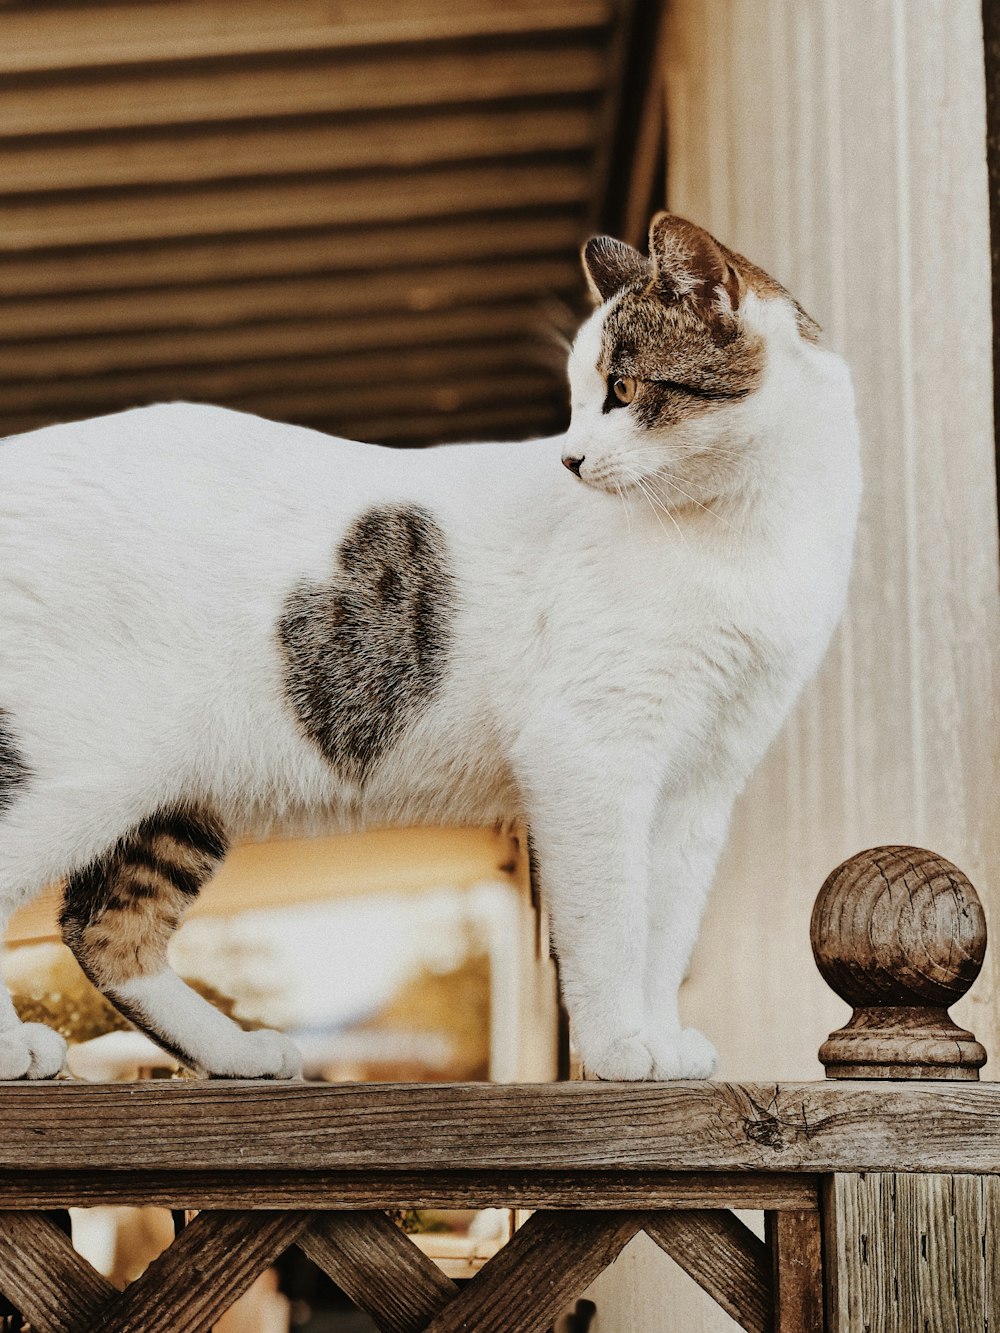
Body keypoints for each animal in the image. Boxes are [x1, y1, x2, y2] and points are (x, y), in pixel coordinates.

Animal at [0, 210, 864, 1082]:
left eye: (620, 390)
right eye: (582, 399)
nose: (571, 458)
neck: (741, 532)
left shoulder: (703, 781)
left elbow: (668, 926)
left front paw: (660, 1037)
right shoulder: (589, 752)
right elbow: (615, 920)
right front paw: (621, 1045)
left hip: (177, 794)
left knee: (106, 930)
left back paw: (237, 1051)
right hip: (79, 769)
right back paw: (18, 1047)